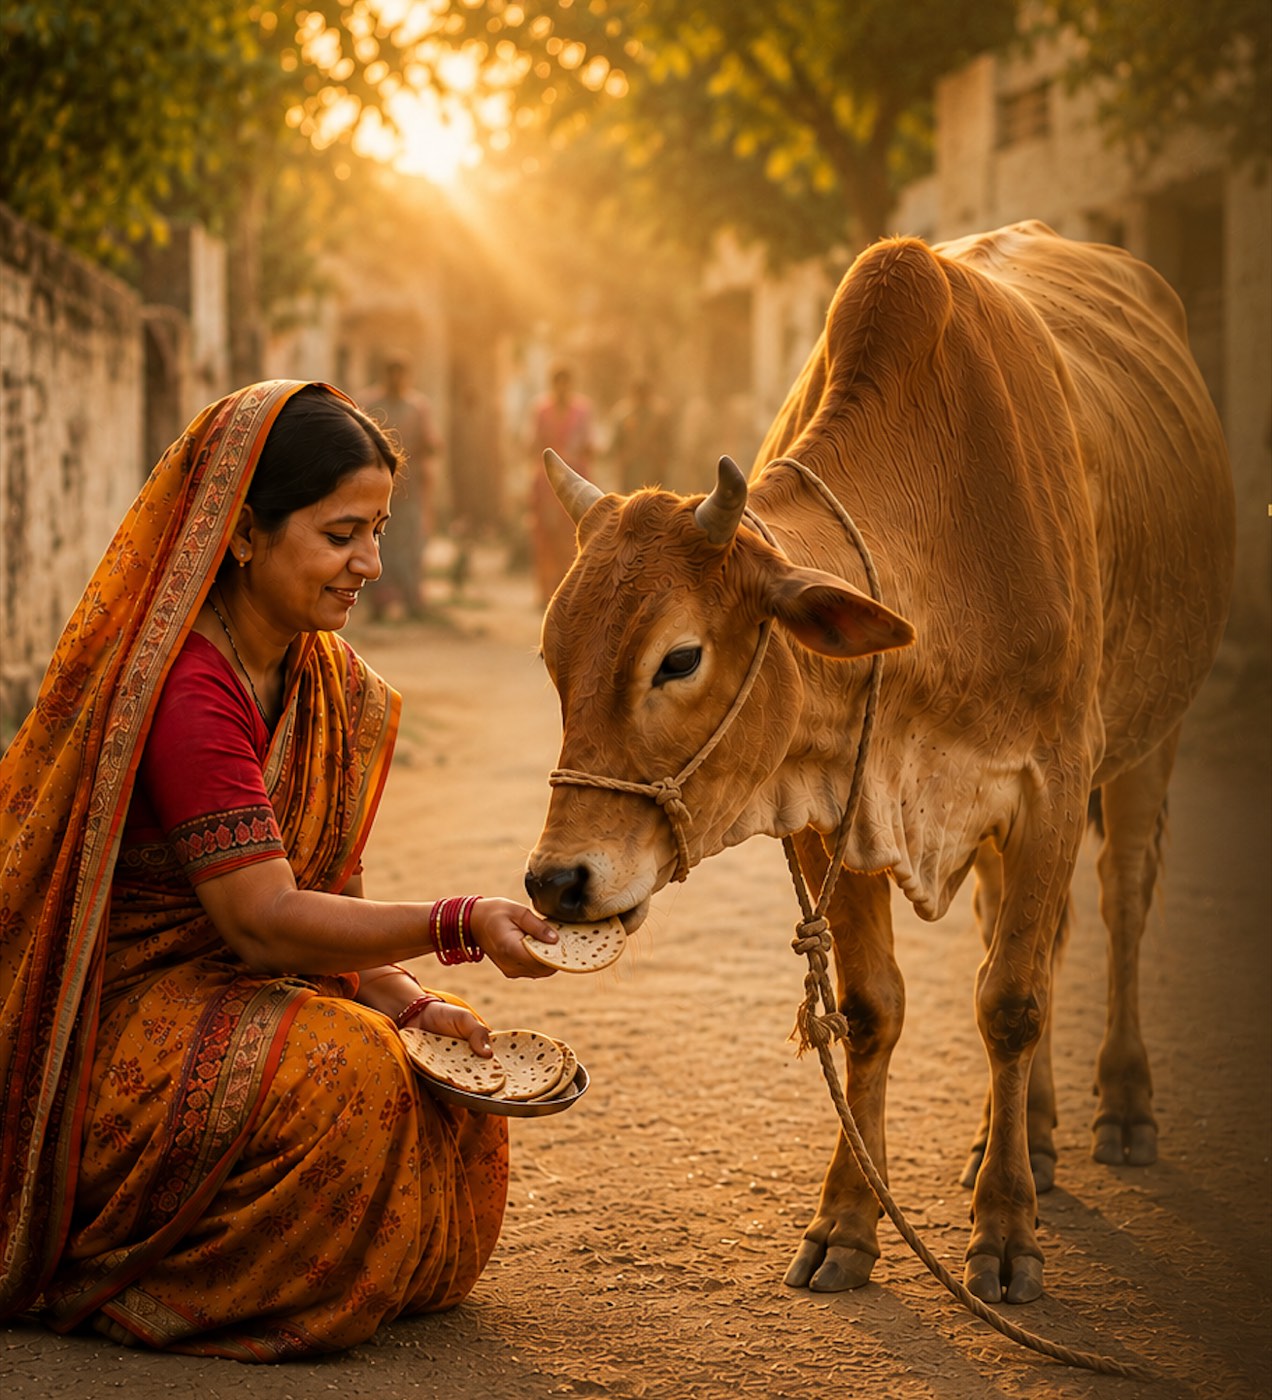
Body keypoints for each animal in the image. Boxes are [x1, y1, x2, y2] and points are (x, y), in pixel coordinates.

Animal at [524, 222, 1234, 1306]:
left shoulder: (1053, 782)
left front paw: (1006, 1233)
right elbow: (870, 1008)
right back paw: (1024, 1134)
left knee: (1117, 904)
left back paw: (1119, 1108)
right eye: (553, 656)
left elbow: (1012, 1003)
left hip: (1152, 729)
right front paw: (848, 1223)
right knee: (1029, 931)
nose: (559, 879)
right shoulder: (830, 808)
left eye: (678, 657)